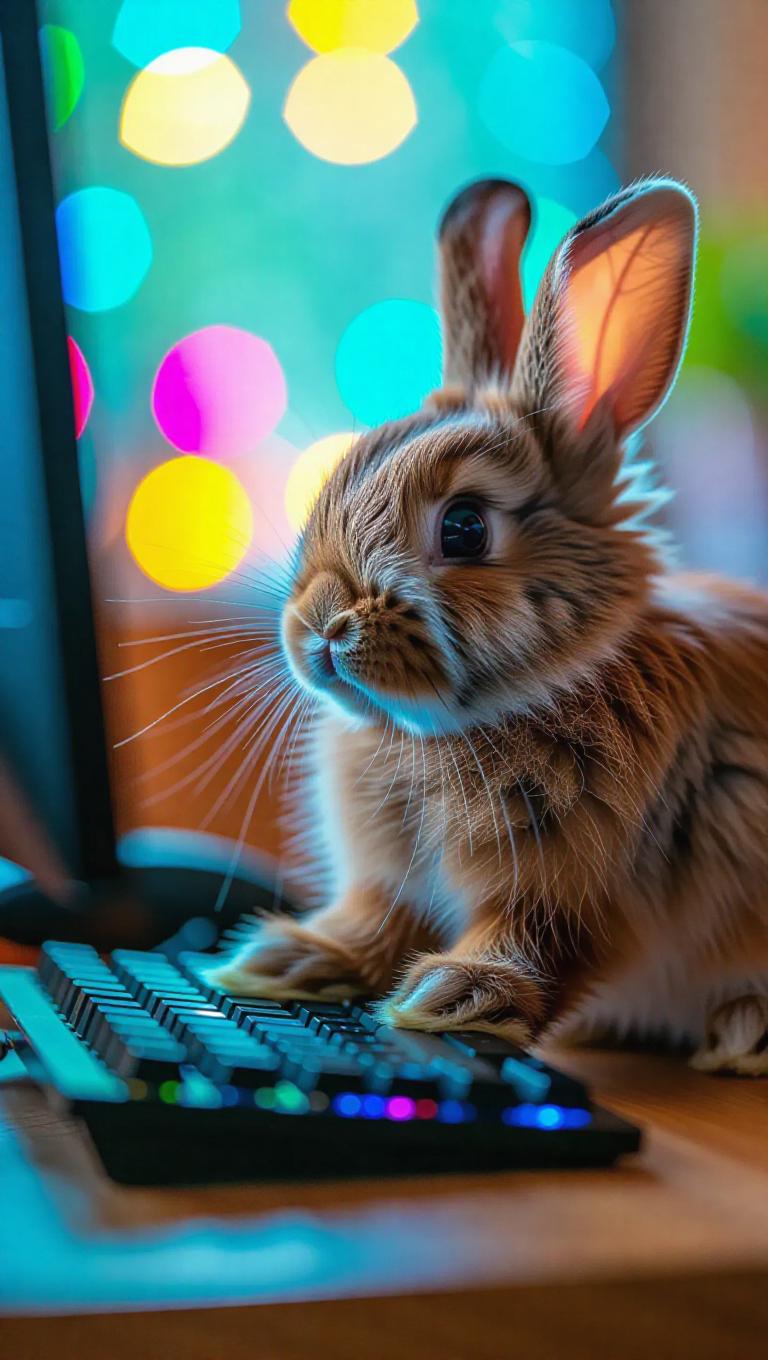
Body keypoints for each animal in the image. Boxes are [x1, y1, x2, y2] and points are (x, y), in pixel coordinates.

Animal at [212, 176, 768, 1075]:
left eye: (466, 528)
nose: (319, 628)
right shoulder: (392, 885)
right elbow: (373, 925)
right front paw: (288, 960)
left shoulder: (569, 891)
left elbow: (531, 943)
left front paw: (454, 999)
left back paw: (743, 1032)